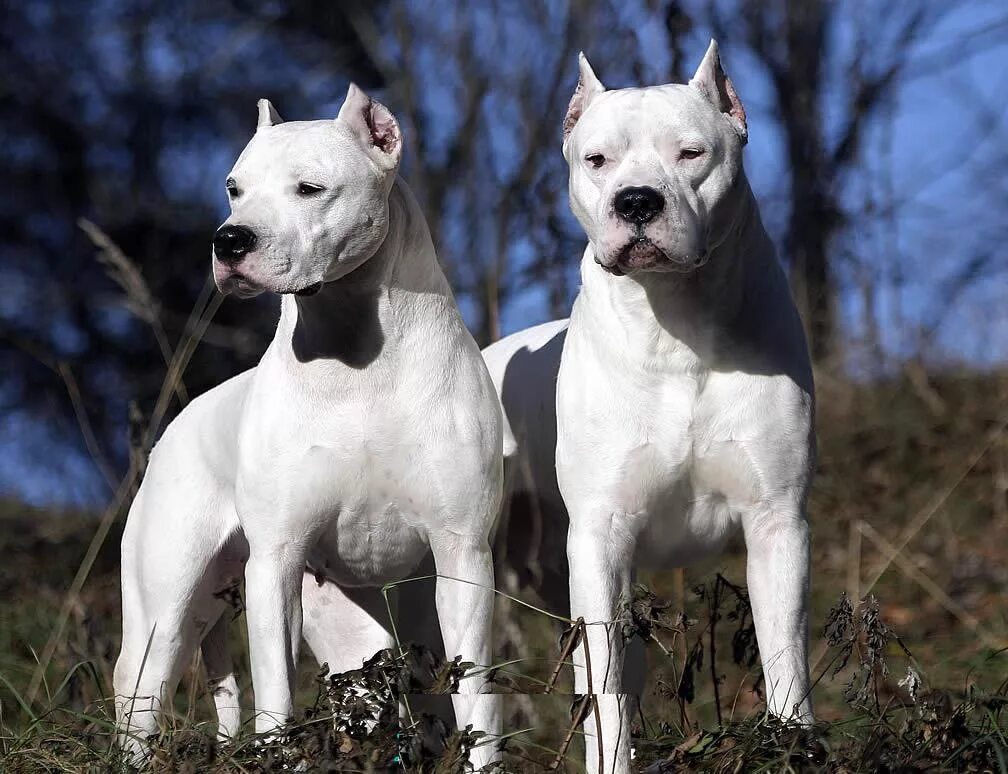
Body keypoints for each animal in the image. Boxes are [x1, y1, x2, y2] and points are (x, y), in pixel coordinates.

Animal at [115, 86, 504, 765]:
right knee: (142, 697)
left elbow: (475, 697)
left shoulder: (462, 555)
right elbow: (276, 694)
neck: (356, 356)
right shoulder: (276, 561)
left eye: (310, 188)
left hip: (359, 642)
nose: (229, 241)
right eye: (234, 187)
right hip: (161, 618)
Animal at [481, 42, 818, 774]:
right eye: (596, 160)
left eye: (691, 153)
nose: (637, 200)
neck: (676, 328)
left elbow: (785, 657)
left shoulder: (776, 521)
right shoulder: (602, 538)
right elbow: (603, 685)